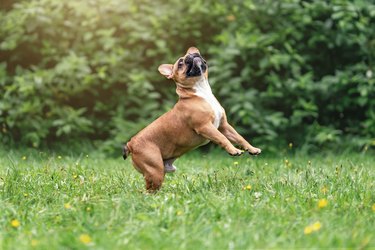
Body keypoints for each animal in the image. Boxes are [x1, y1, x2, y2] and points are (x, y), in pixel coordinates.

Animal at [123, 47, 262, 191]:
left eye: (195, 54)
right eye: (180, 63)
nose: (192, 55)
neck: (201, 91)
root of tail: (130, 144)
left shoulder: (224, 126)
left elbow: (239, 137)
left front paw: (252, 149)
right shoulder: (205, 126)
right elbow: (222, 138)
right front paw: (233, 150)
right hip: (154, 170)